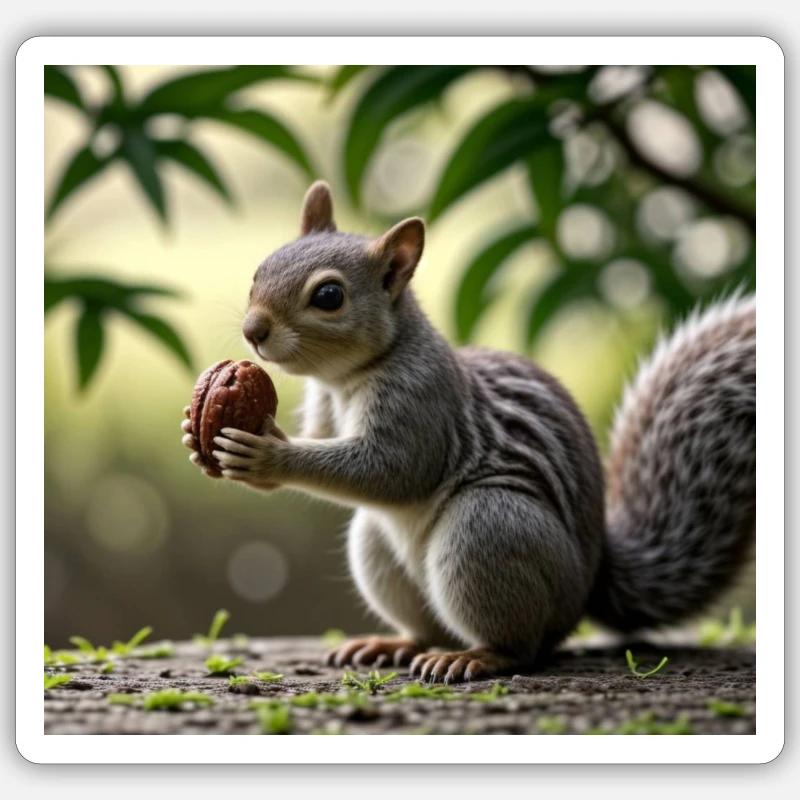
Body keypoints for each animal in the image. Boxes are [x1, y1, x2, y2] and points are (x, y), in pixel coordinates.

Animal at [181, 180, 756, 683]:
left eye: (328, 295)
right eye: (259, 270)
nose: (253, 331)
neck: (348, 377)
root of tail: (588, 585)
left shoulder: (423, 402)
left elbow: (391, 470)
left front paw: (267, 456)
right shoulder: (325, 406)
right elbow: (327, 439)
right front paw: (196, 430)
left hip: (487, 529)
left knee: (524, 645)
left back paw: (478, 657)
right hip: (378, 547)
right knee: (429, 626)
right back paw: (395, 643)